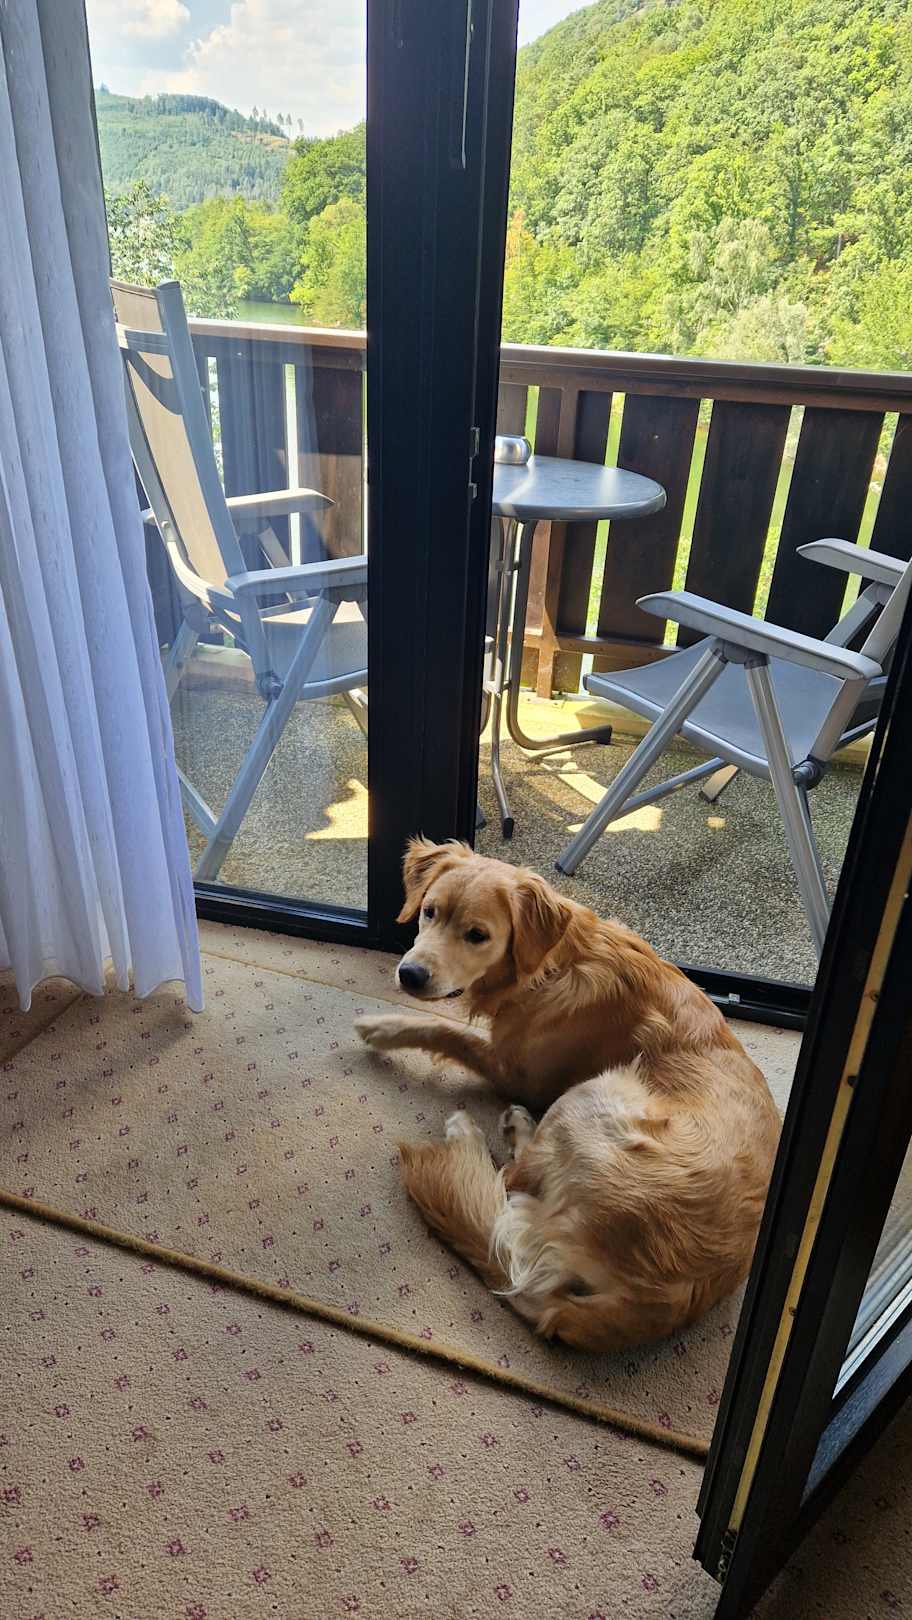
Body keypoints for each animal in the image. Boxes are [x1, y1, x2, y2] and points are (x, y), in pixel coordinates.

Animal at [355, 837, 780, 1353]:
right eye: (429, 912)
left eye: (477, 935)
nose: (411, 974)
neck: (549, 965)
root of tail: (670, 1296)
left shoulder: (516, 1071)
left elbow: (445, 1031)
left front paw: (383, 1027)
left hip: (593, 1096)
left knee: (511, 1180)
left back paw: (474, 1132)